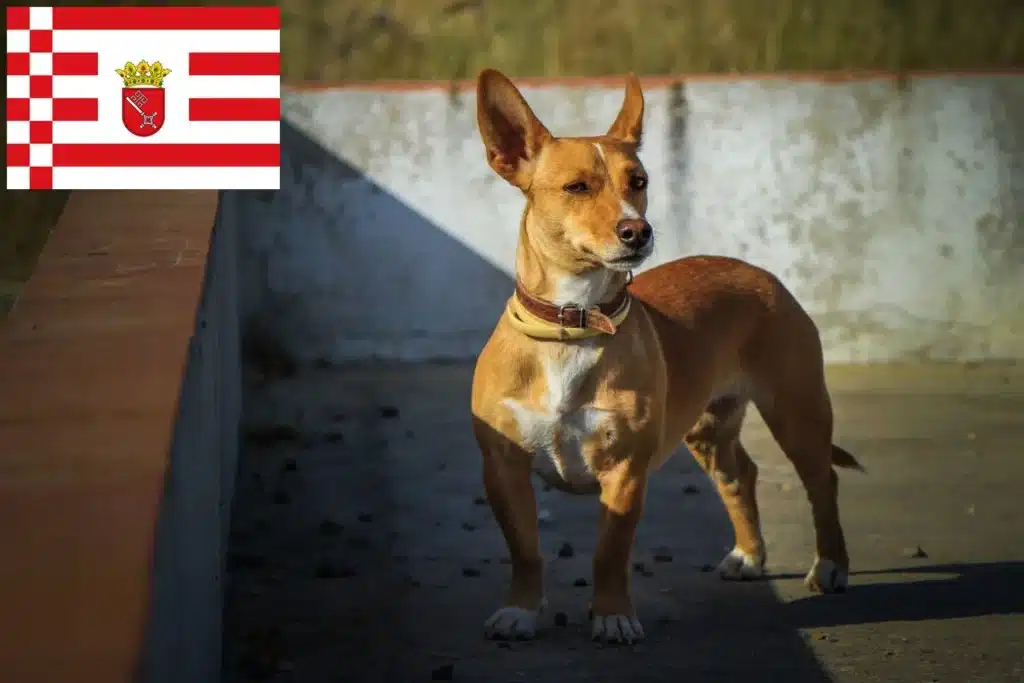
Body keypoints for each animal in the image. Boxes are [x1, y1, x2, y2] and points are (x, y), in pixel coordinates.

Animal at [471, 69, 864, 647]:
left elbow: (610, 553)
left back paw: (831, 565)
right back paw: (749, 555)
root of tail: (756, 272)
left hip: (798, 412)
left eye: (639, 181)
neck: (573, 323)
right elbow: (524, 549)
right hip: (708, 426)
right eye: (576, 187)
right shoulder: (503, 468)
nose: (638, 230)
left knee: (823, 483)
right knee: (739, 475)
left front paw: (612, 615)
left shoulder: (624, 472)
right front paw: (520, 610)